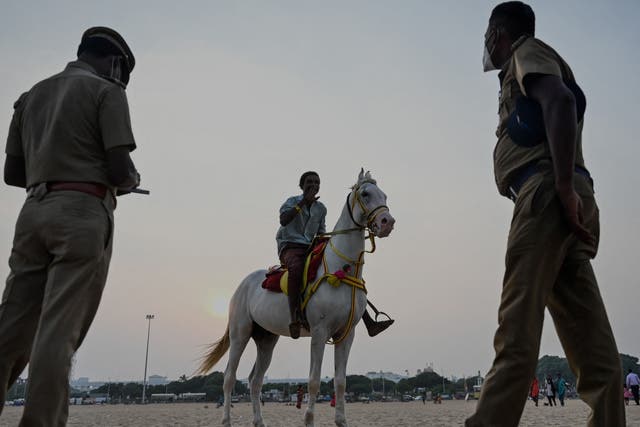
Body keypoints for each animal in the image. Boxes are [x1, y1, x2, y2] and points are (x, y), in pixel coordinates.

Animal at [199, 169, 396, 426]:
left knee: (255, 380)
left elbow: (340, 383)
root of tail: (242, 286)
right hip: (239, 333)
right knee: (229, 378)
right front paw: (309, 420)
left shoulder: (346, 335)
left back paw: (259, 421)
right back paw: (226, 421)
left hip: (266, 339)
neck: (341, 268)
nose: (387, 222)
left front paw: (341, 421)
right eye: (365, 194)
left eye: (384, 195)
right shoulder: (320, 332)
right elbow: (313, 381)